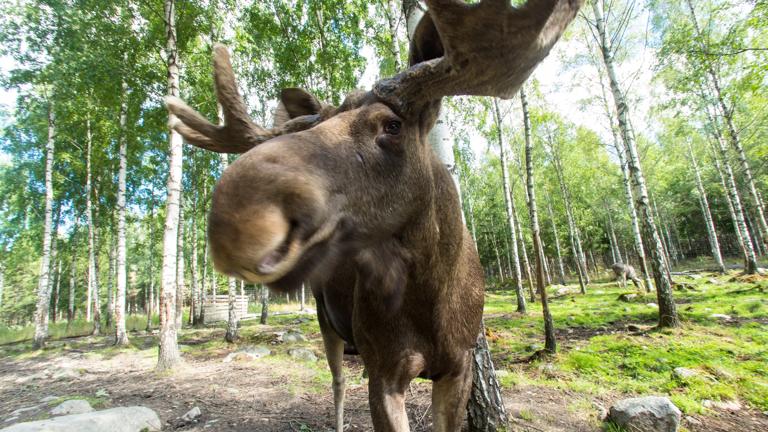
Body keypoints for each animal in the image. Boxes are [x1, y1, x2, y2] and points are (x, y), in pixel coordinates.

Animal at [165, 1, 580, 430]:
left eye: (392, 125)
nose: (236, 213)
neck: (431, 299)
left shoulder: (459, 365)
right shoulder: (385, 369)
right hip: (327, 323)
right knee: (338, 382)